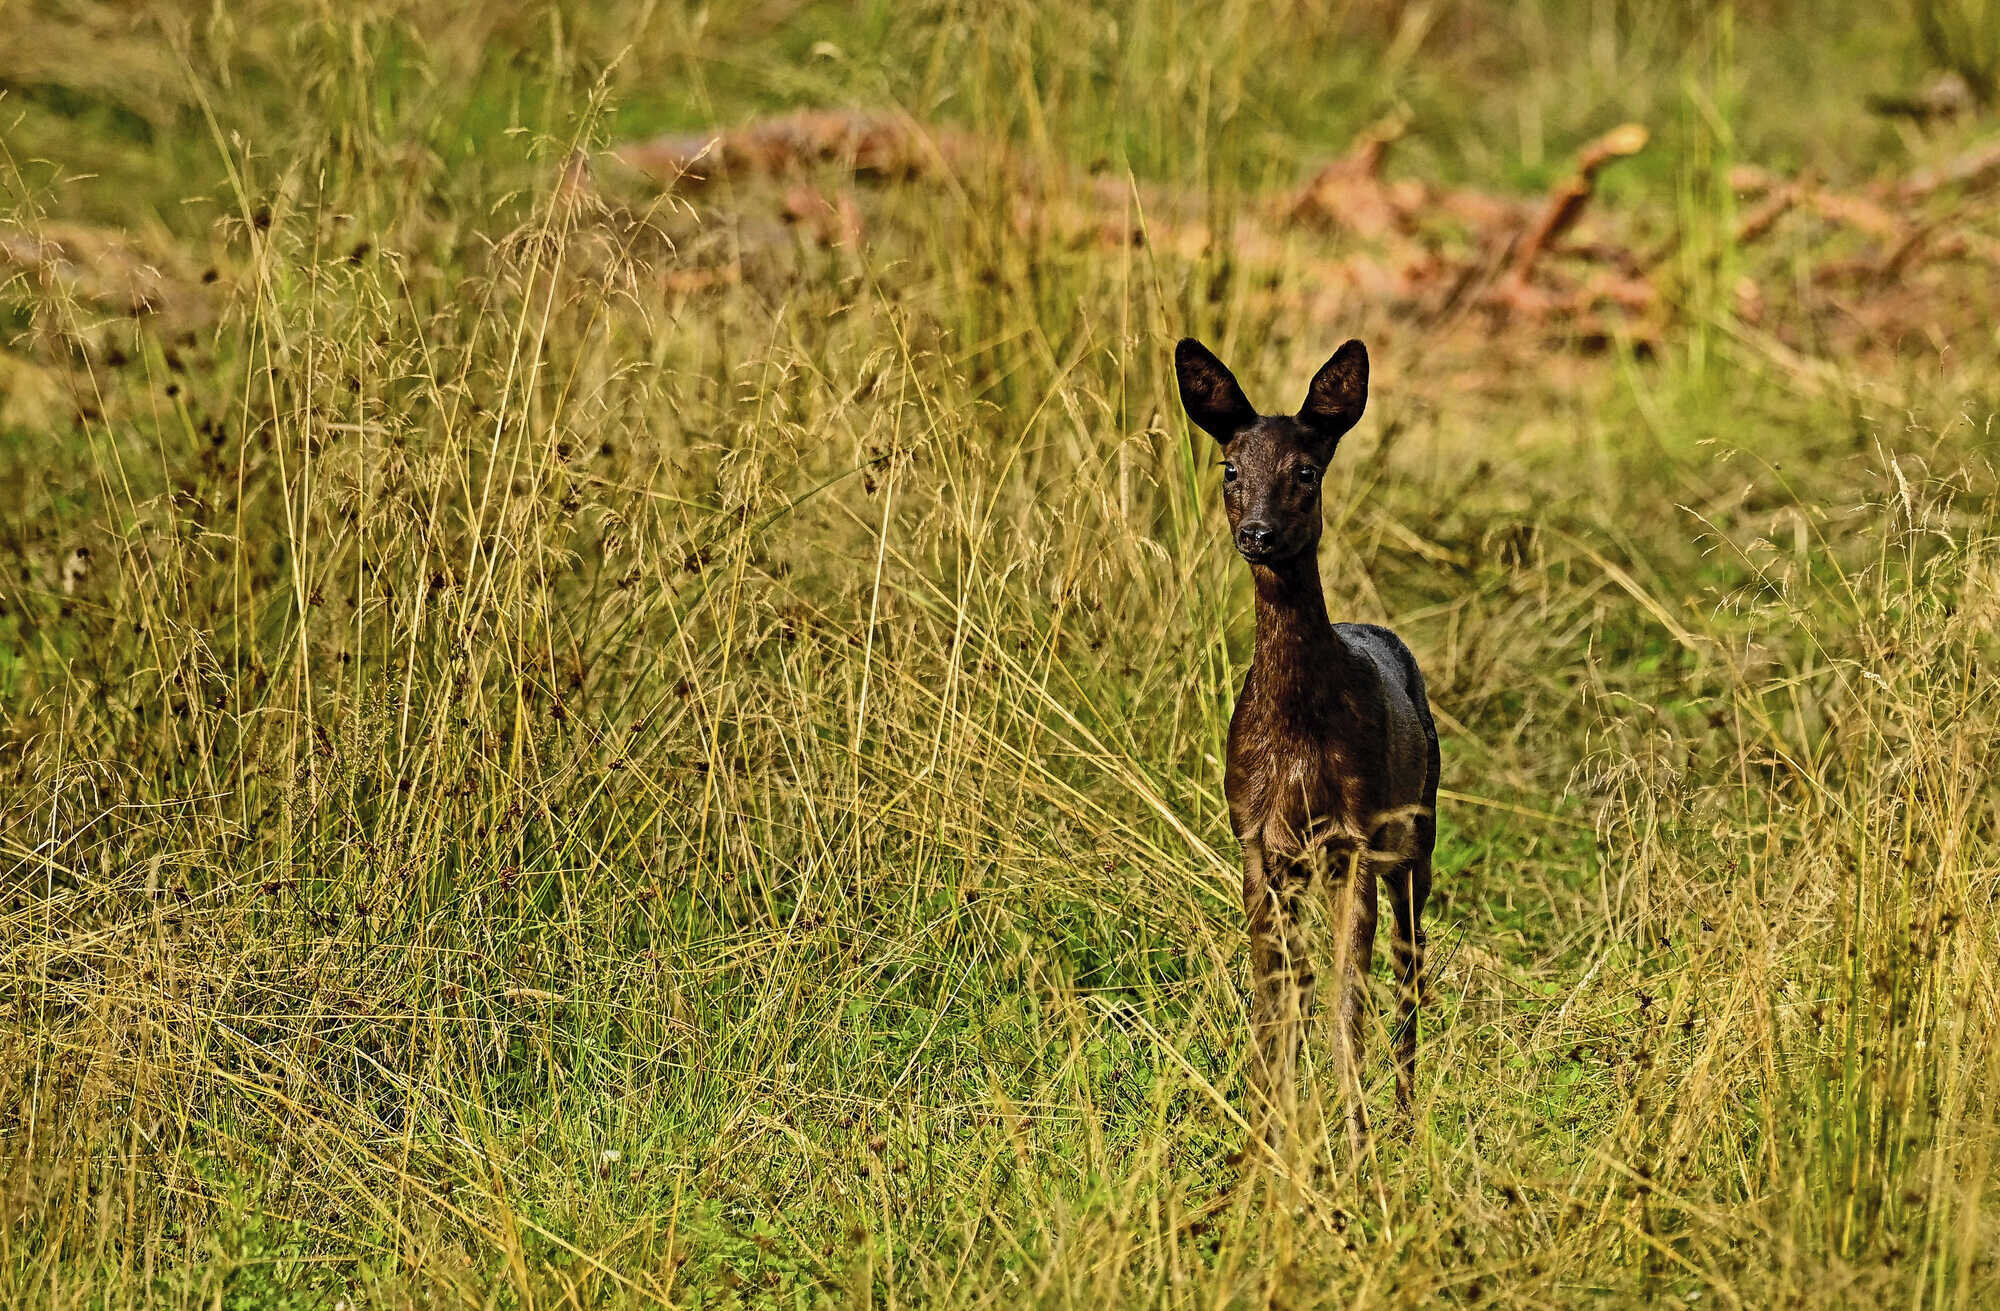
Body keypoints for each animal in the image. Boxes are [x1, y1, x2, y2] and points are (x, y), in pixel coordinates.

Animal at [1168, 337, 1440, 1159]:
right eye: (1230, 468)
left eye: (1306, 471)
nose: (1256, 532)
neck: (1296, 741)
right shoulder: (1256, 839)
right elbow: (1274, 999)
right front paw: (1263, 1141)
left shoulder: (1356, 836)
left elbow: (1347, 1002)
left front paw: (1352, 1147)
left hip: (1417, 834)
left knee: (1411, 973)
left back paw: (1403, 1119)